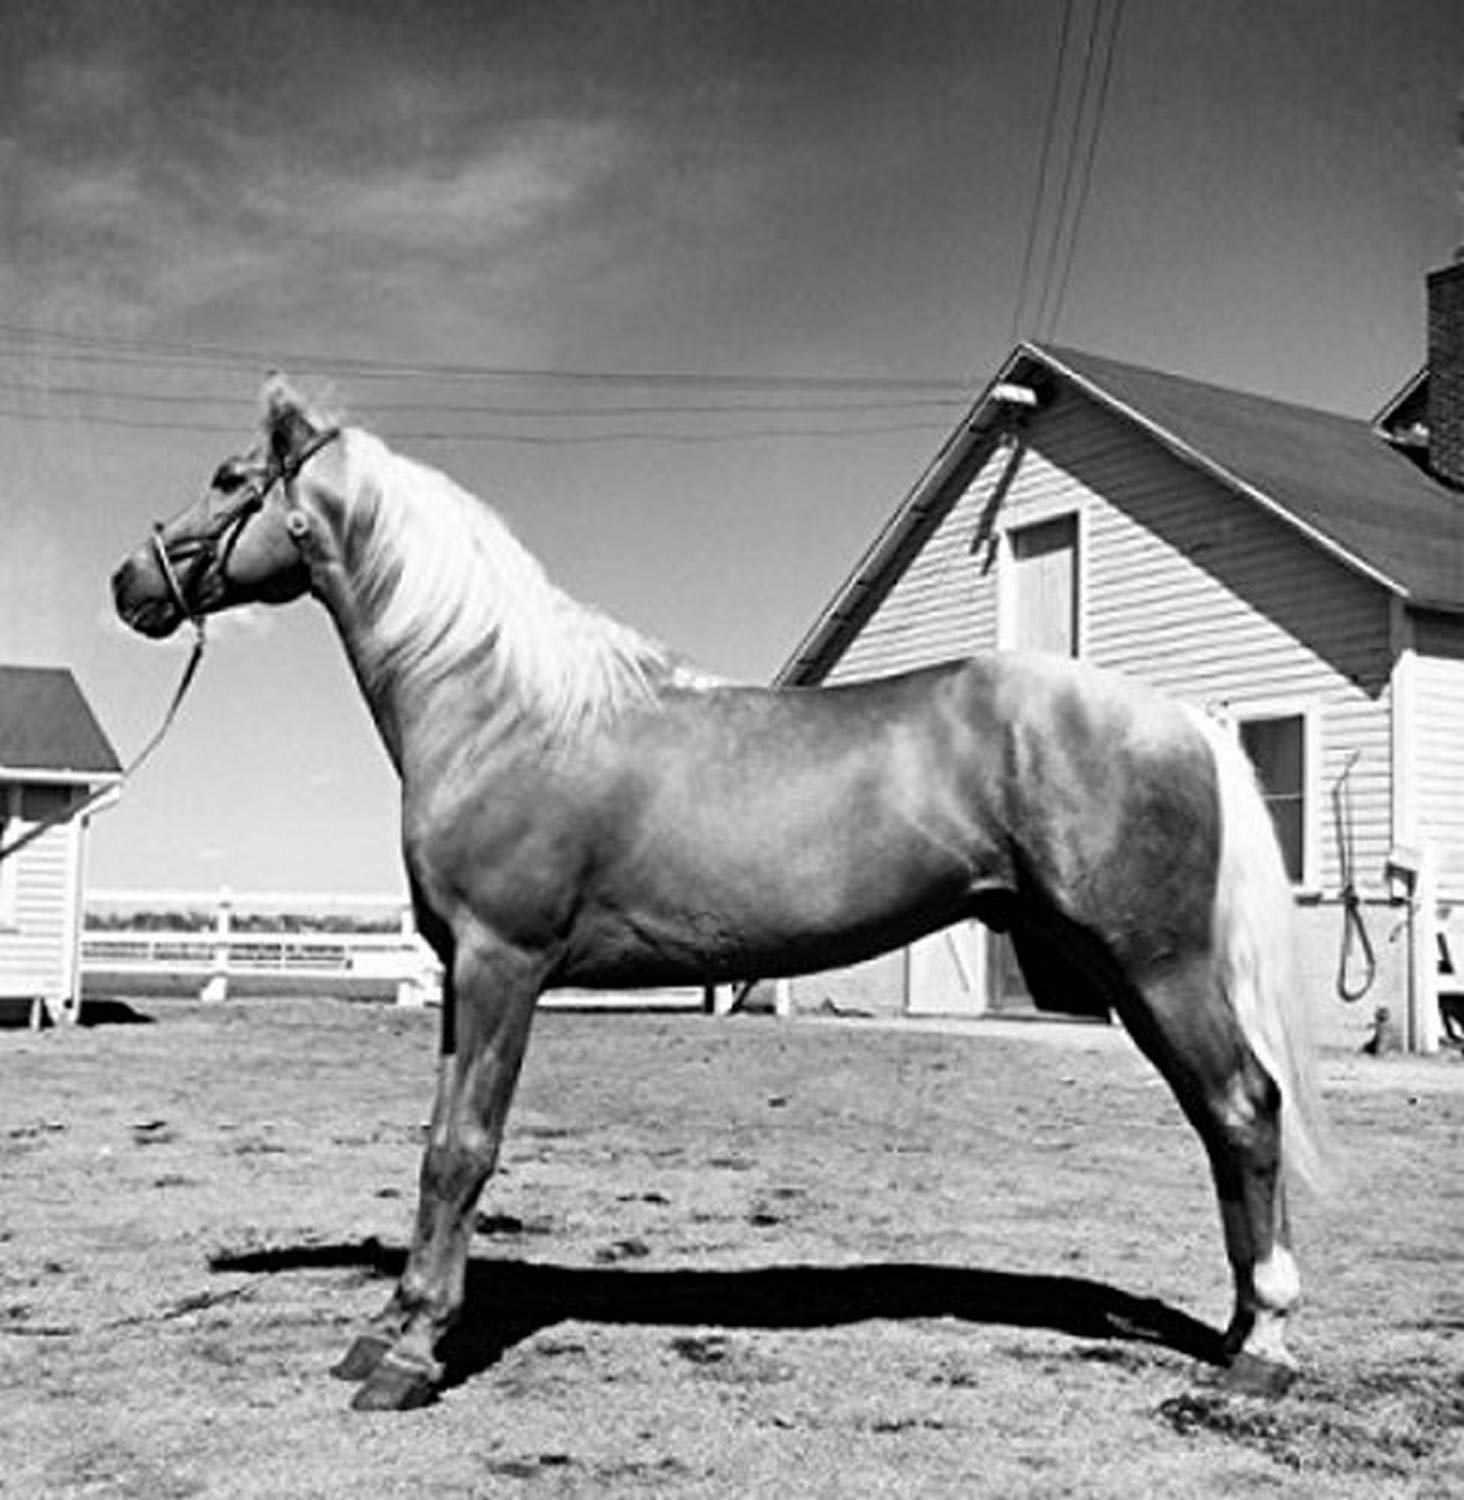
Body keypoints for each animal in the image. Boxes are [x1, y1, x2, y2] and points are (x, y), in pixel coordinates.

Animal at [112, 375, 1327, 1412]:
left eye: (229, 477)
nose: (130, 584)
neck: (500, 706)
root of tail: (1179, 717)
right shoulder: (459, 971)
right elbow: (434, 1140)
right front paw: (392, 1326)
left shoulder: (506, 962)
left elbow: (464, 1149)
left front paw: (411, 1358)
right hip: (1127, 971)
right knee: (1223, 1118)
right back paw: (1235, 1330)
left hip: (1155, 962)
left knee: (1244, 1107)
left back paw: (1262, 1348)